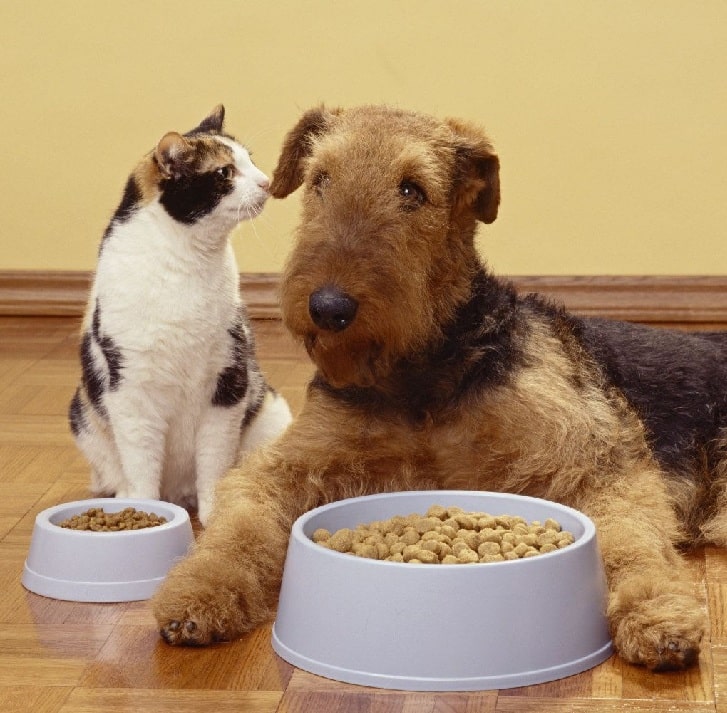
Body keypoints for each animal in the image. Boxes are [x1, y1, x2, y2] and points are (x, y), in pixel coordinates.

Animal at [69, 105, 292, 524]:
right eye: (224, 172)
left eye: (250, 160)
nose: (267, 182)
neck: (187, 262)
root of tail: (178, 491)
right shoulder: (131, 390)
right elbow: (141, 463)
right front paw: (142, 512)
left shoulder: (227, 380)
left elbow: (214, 462)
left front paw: (214, 514)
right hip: (83, 413)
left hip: (270, 413)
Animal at [154, 103, 727, 672]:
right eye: (321, 179)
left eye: (413, 190)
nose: (329, 307)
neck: (424, 378)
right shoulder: (286, 466)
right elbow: (237, 528)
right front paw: (195, 593)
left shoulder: (602, 464)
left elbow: (634, 545)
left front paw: (657, 615)